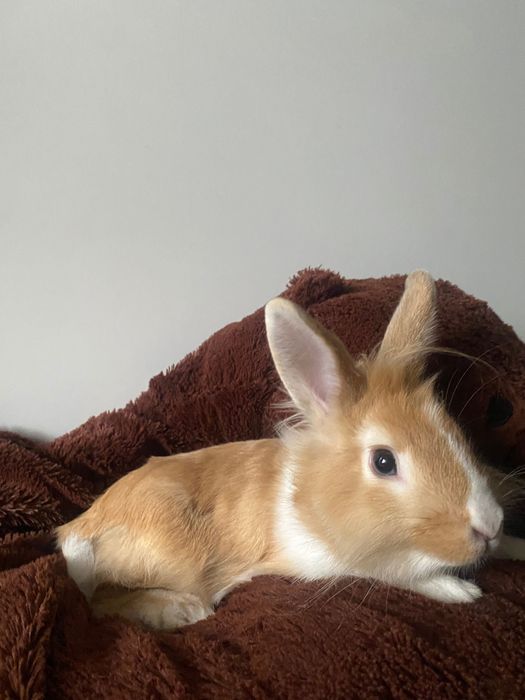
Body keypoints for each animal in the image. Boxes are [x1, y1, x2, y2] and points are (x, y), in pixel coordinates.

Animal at [56, 271, 525, 630]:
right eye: (383, 461)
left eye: (455, 432)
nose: (488, 525)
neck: (316, 497)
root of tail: (73, 534)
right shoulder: (330, 561)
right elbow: (391, 571)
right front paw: (459, 590)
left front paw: (513, 545)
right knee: (99, 602)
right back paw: (184, 611)